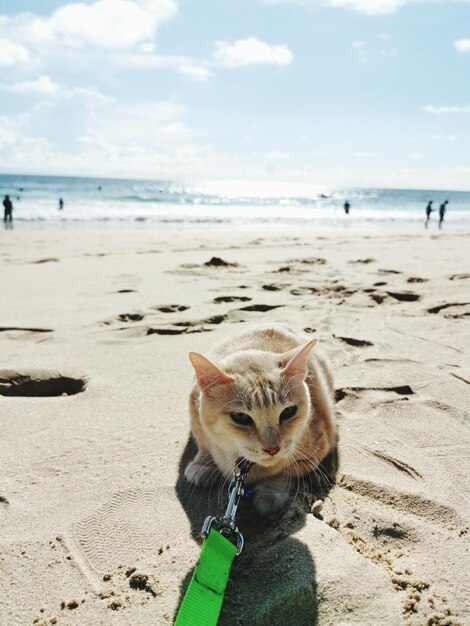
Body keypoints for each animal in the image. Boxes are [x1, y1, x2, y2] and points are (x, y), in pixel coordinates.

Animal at [185, 324, 336, 516]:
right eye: (241, 417)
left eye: (288, 412)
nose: (272, 448)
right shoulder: (194, 405)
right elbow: (204, 443)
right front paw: (202, 464)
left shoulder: (318, 447)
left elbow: (285, 472)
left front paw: (269, 493)